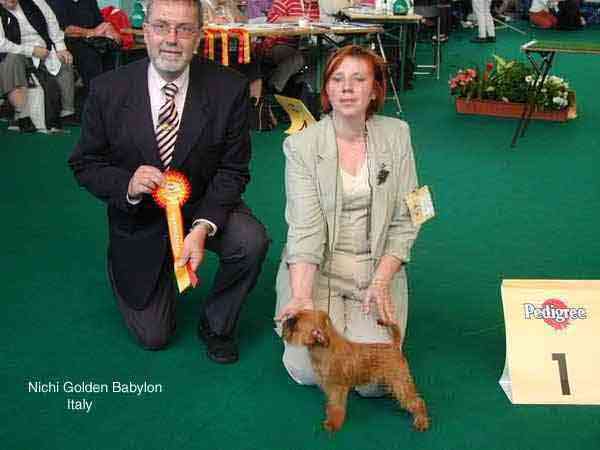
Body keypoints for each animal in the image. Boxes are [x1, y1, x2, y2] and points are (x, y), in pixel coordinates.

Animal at [282, 310, 428, 432]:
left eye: (294, 324)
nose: (286, 321)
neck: (323, 349)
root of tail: (394, 346)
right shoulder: (329, 388)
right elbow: (331, 404)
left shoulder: (337, 389)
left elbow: (336, 406)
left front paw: (333, 423)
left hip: (400, 380)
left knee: (416, 401)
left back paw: (422, 421)